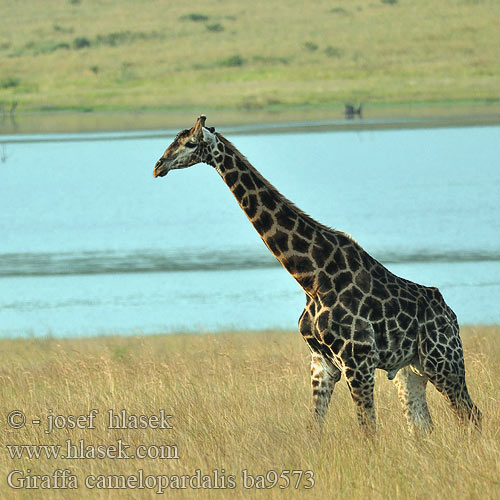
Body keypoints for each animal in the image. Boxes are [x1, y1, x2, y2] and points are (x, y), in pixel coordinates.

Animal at [152, 115, 480, 432]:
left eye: (190, 143)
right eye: (174, 139)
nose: (158, 166)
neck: (311, 278)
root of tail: (451, 315)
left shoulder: (358, 360)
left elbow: (368, 430)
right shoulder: (322, 363)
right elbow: (315, 427)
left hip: (443, 362)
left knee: (471, 415)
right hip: (410, 370)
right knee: (423, 426)